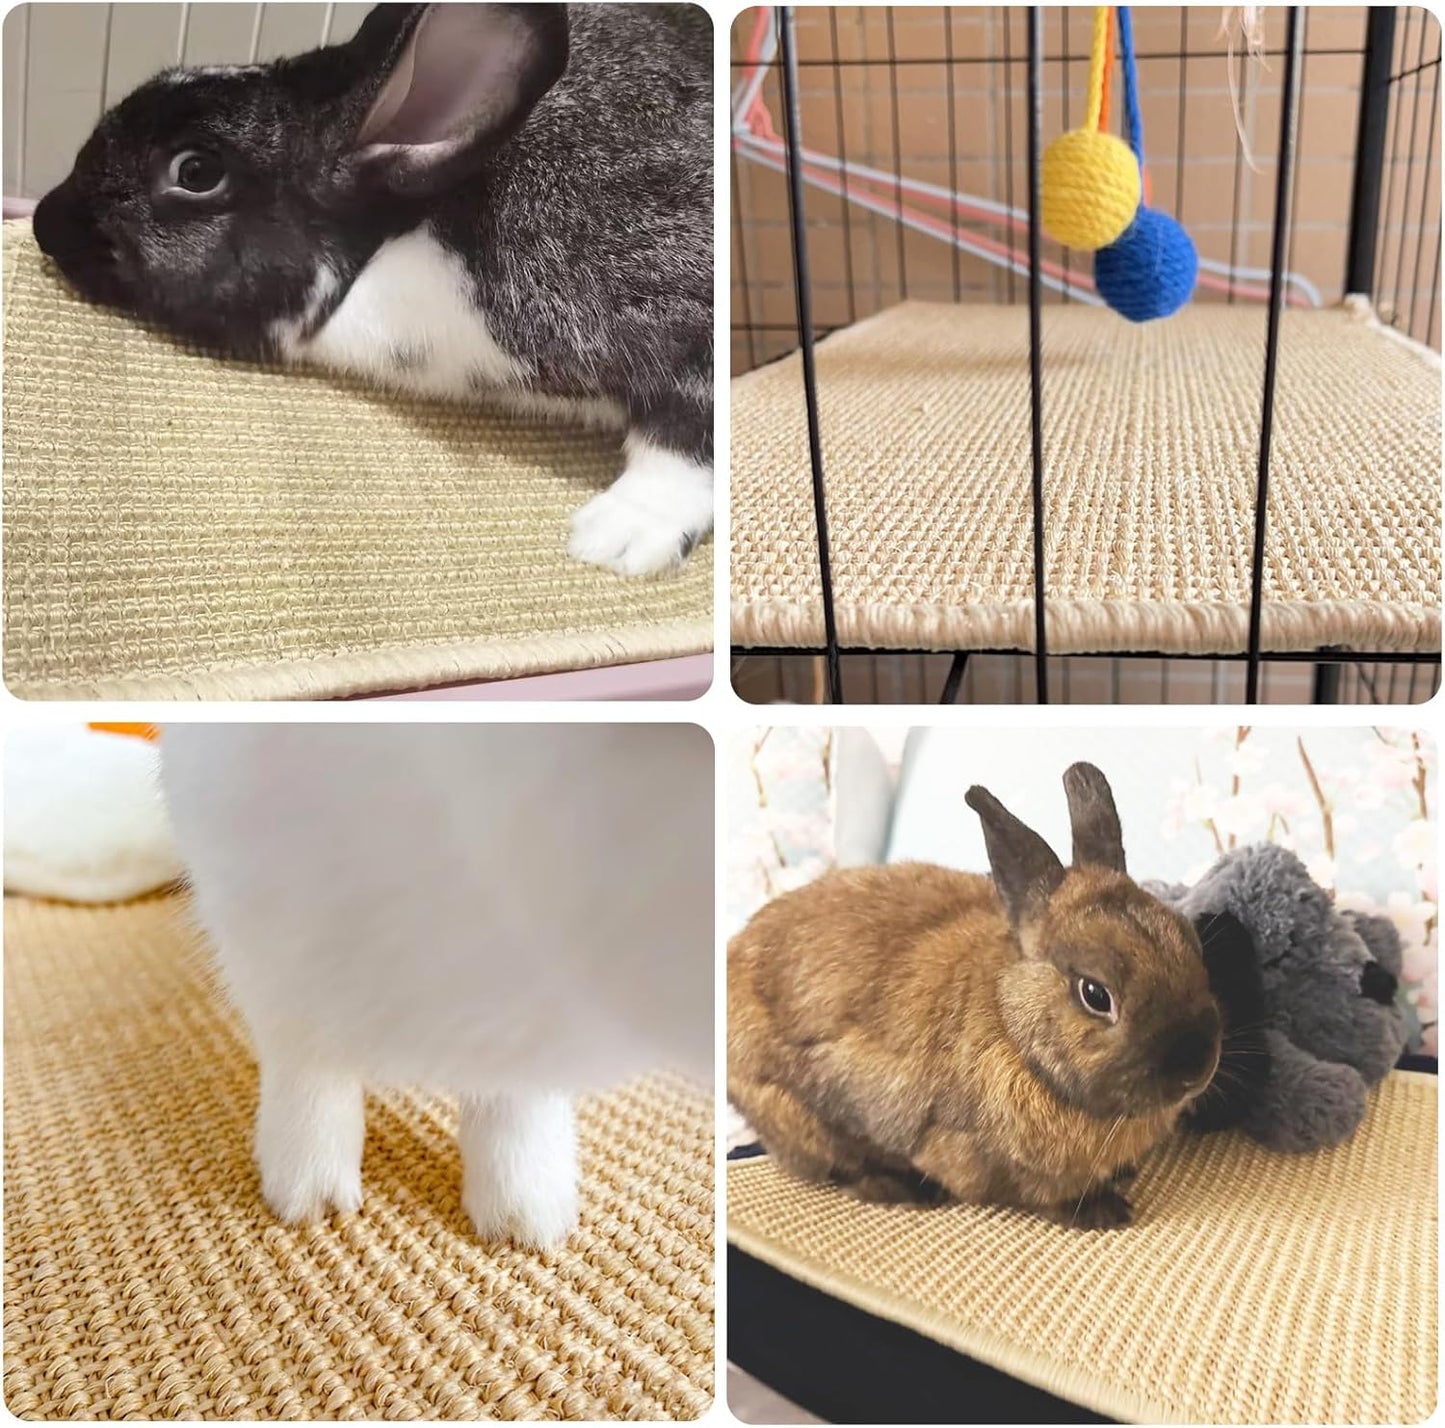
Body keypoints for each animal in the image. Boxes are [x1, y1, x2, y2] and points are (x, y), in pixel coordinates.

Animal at [728, 763, 1221, 1230]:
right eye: (1096, 994)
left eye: (1189, 940)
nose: (1195, 1069)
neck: (1011, 1025)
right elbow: (1034, 1194)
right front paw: (1103, 1212)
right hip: (793, 1112)